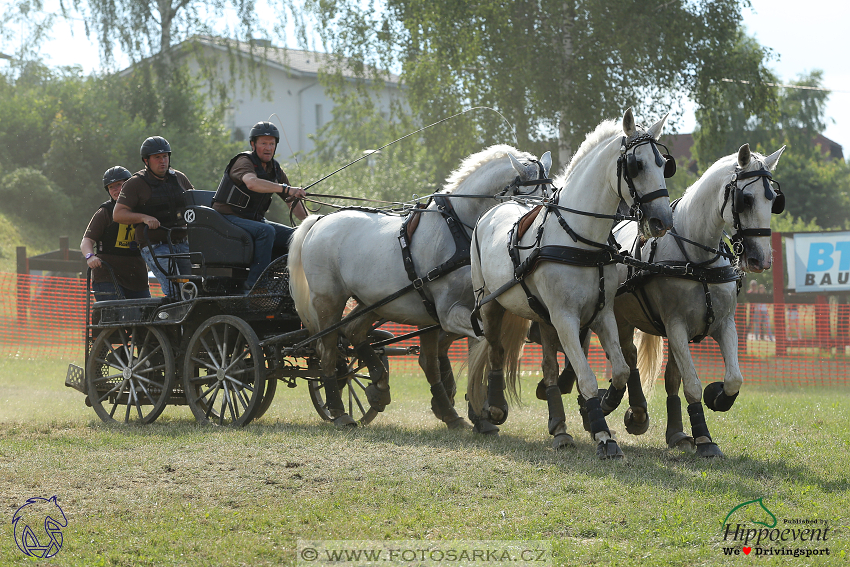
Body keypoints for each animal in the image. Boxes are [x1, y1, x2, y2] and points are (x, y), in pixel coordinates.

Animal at [288, 144, 552, 428]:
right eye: (531, 198)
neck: (458, 228)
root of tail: (319, 221)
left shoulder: (465, 310)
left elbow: (466, 353)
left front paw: (468, 410)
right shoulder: (447, 313)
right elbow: (481, 346)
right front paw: (485, 407)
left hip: (373, 302)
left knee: (353, 331)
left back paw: (379, 385)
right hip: (328, 301)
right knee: (327, 352)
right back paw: (339, 410)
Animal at [468, 108, 672, 460]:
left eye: (663, 164)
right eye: (637, 165)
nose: (663, 220)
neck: (580, 238)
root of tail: (493, 210)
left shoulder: (601, 314)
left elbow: (619, 369)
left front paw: (604, 406)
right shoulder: (565, 317)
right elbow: (586, 377)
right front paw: (604, 435)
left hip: (544, 319)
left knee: (549, 367)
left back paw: (560, 428)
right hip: (490, 304)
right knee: (495, 350)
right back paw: (495, 408)